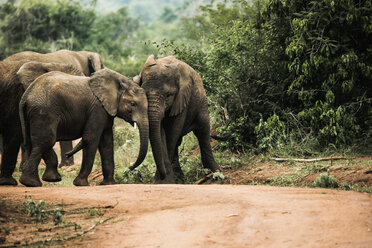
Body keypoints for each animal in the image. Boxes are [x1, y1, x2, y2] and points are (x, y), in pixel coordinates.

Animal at [17, 65, 148, 187]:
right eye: (133, 104)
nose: (130, 168)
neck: (120, 81)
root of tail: (26, 96)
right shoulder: (97, 109)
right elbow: (91, 138)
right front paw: (81, 184)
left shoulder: (106, 111)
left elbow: (106, 142)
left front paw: (109, 184)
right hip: (44, 111)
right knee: (47, 141)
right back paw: (31, 183)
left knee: (36, 141)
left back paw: (49, 179)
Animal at [132, 54, 219, 182]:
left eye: (168, 95)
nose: (163, 174)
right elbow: (160, 133)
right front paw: (163, 182)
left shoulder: (182, 99)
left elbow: (172, 133)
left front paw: (164, 181)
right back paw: (180, 178)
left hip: (201, 101)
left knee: (202, 131)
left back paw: (215, 172)